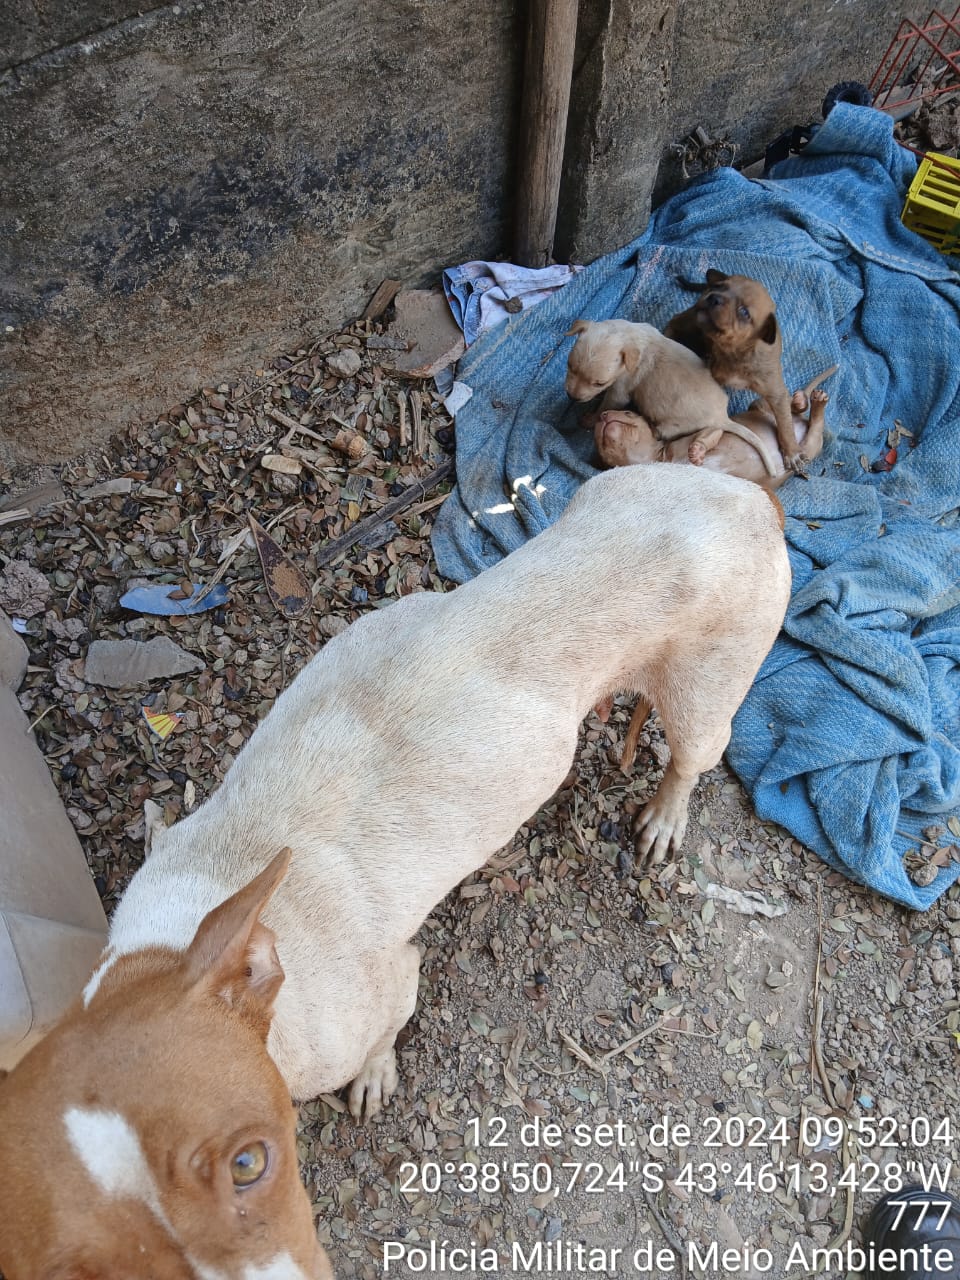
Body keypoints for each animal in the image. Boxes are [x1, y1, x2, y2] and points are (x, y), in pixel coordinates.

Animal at [0, 463, 788, 1280]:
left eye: (249, 1163)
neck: (178, 941)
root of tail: (749, 494)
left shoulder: (386, 983)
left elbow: (383, 1032)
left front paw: (374, 1078)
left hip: (707, 696)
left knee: (691, 760)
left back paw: (664, 816)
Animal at [563, 317, 783, 478]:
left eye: (599, 383)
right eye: (569, 365)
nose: (571, 396)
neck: (630, 337)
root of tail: (722, 416)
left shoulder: (620, 389)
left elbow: (605, 405)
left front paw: (590, 418)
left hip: (670, 428)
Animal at [599, 371, 839, 494]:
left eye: (628, 413)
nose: (603, 415)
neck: (661, 458)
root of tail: (799, 423)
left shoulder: (706, 428)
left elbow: (709, 433)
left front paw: (697, 451)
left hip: (792, 433)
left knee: (802, 417)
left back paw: (808, 401)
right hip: (798, 437)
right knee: (801, 422)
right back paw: (803, 402)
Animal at [660, 271, 803, 476]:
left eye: (744, 312)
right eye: (720, 286)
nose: (713, 297)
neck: (733, 352)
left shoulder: (776, 392)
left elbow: (785, 422)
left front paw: (792, 452)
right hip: (691, 318)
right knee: (677, 321)